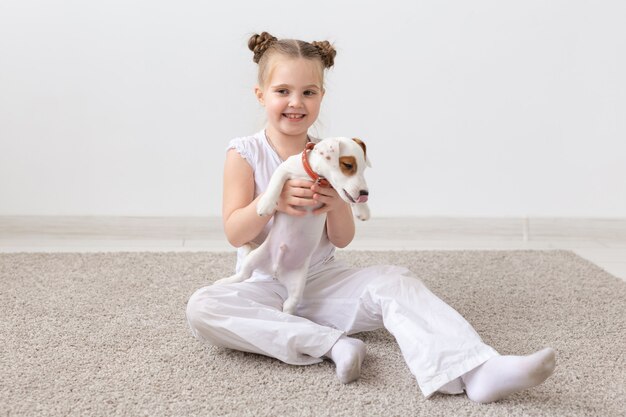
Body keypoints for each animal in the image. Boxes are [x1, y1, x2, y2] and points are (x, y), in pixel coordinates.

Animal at [214, 138, 370, 314]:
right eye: (348, 165)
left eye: (363, 168)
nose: (365, 193)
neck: (315, 177)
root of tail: (275, 271)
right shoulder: (284, 169)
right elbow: (276, 183)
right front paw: (266, 204)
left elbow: (348, 198)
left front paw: (363, 210)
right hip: (254, 258)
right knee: (243, 275)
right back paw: (224, 282)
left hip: (298, 284)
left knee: (289, 304)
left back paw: (287, 316)